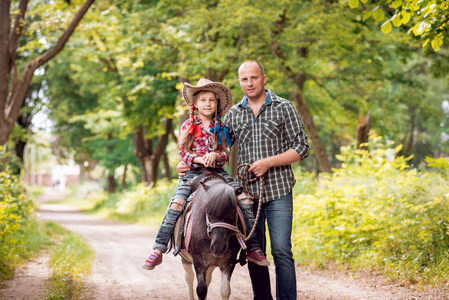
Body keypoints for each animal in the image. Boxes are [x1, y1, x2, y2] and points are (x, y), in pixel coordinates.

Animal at [174, 171, 245, 300]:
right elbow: (201, 290)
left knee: (207, 279)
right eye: (208, 212)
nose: (218, 247)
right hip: (185, 258)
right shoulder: (198, 260)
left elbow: (225, 290)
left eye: (233, 213)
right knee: (189, 278)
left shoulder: (230, 261)